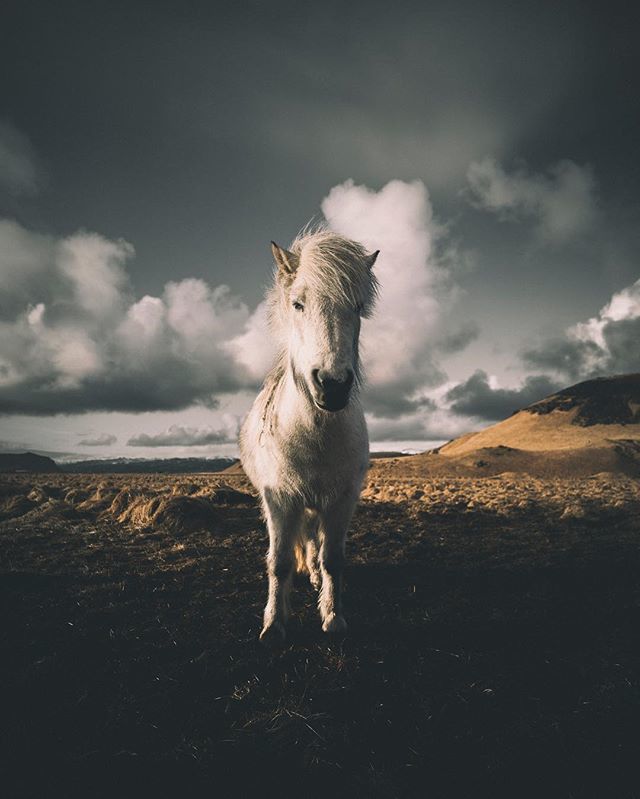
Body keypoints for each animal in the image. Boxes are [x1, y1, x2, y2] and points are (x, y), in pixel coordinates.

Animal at [240, 228, 380, 648]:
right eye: (298, 304)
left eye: (357, 306)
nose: (332, 385)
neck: (313, 437)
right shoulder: (279, 500)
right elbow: (280, 562)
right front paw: (274, 624)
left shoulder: (342, 500)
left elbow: (332, 558)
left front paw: (332, 617)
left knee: (316, 545)